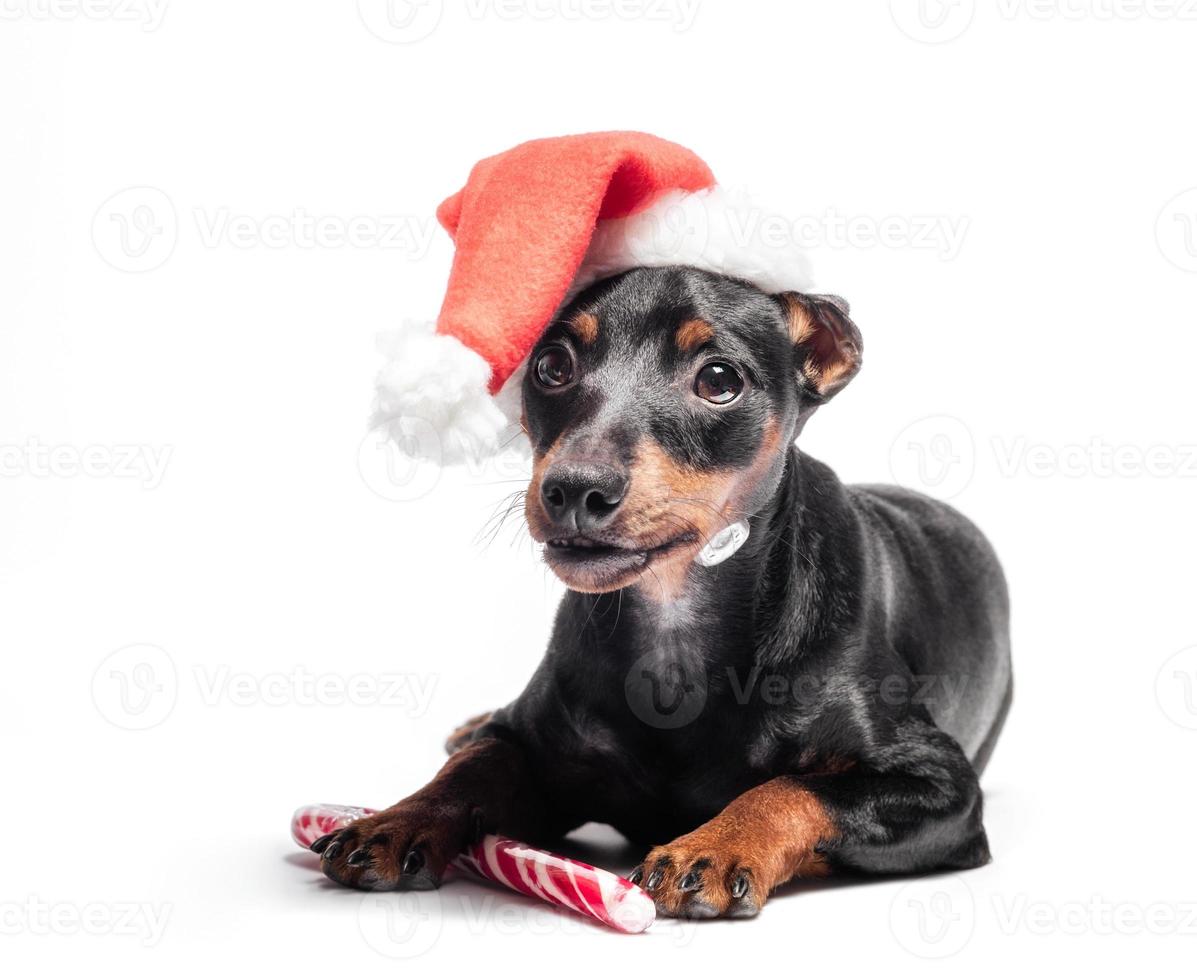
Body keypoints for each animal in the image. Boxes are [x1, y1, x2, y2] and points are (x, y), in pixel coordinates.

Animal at [313, 262, 1015, 918]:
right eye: (551, 365)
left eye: (719, 380)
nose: (574, 489)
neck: (674, 617)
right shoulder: (528, 744)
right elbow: (470, 768)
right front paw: (394, 821)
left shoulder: (943, 788)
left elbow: (795, 788)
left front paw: (714, 847)